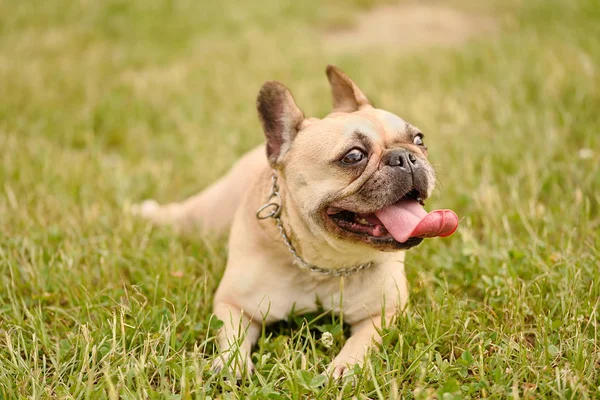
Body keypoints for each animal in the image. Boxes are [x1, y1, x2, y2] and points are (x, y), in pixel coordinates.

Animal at [132, 65, 460, 378]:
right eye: (353, 156)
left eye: (419, 140)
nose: (406, 157)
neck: (323, 264)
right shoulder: (233, 304)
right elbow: (232, 335)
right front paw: (230, 362)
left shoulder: (386, 312)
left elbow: (364, 339)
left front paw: (346, 366)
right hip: (208, 213)